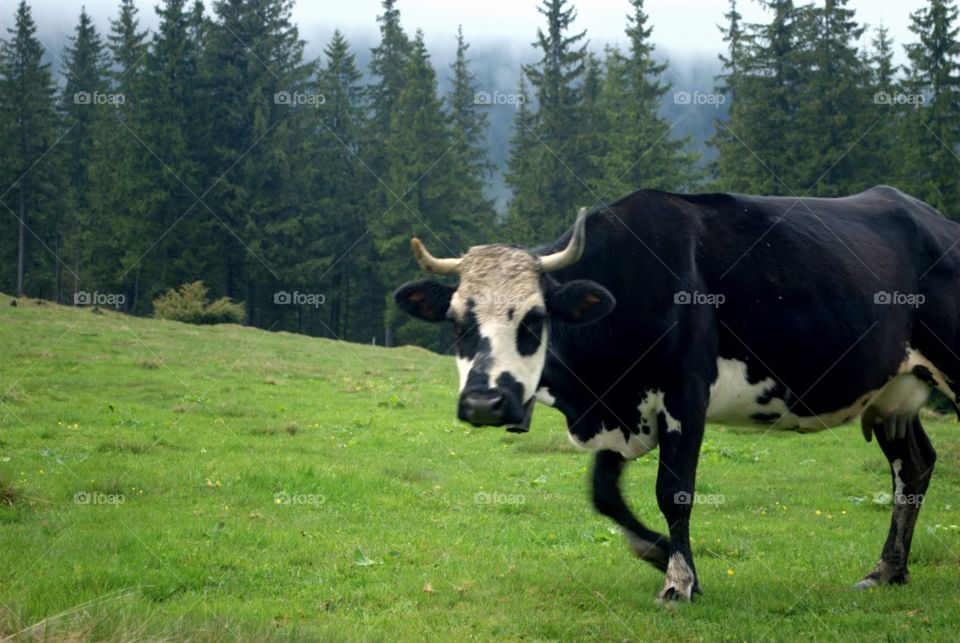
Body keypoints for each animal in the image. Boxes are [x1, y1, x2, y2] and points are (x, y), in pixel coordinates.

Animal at [392, 186, 960, 604]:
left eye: (534, 319)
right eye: (458, 322)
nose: (484, 404)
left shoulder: (685, 396)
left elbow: (674, 491)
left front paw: (679, 580)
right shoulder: (621, 407)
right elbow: (603, 494)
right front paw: (658, 551)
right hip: (894, 394)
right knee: (914, 466)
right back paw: (887, 571)